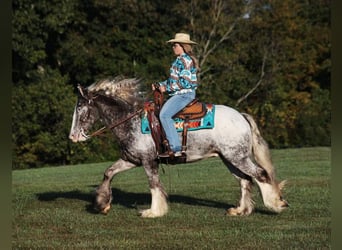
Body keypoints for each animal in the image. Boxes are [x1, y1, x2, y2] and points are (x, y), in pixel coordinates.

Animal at [68, 76, 288, 217]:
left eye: (80, 107)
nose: (73, 136)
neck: (131, 121)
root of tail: (241, 116)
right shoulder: (132, 159)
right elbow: (108, 173)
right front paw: (102, 205)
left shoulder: (149, 161)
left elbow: (154, 185)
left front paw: (153, 211)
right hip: (230, 158)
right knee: (244, 180)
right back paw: (241, 210)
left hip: (238, 157)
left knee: (260, 174)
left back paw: (276, 203)